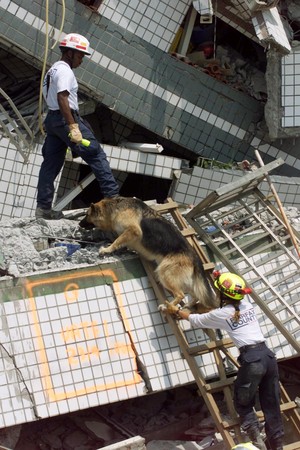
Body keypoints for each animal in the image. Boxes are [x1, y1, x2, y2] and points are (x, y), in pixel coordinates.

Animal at [78, 197, 217, 312]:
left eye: (87, 215)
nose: (79, 224)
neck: (115, 207)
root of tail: (194, 256)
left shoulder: (133, 230)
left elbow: (117, 240)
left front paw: (107, 249)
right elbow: (121, 241)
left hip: (164, 273)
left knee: (181, 294)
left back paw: (167, 306)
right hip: (182, 280)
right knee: (195, 295)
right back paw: (188, 305)